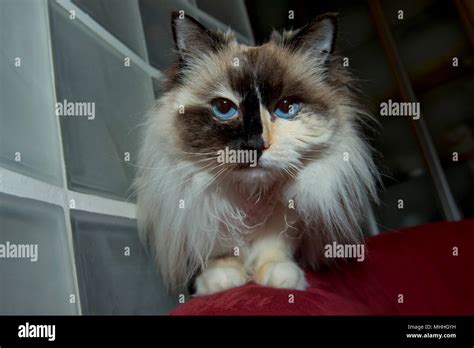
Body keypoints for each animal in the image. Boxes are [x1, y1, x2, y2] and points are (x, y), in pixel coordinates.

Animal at [135, 10, 380, 294]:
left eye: (286, 107)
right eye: (224, 108)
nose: (255, 144)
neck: (252, 198)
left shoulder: (288, 218)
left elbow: (273, 249)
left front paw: (281, 278)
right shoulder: (204, 212)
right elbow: (220, 252)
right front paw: (222, 282)